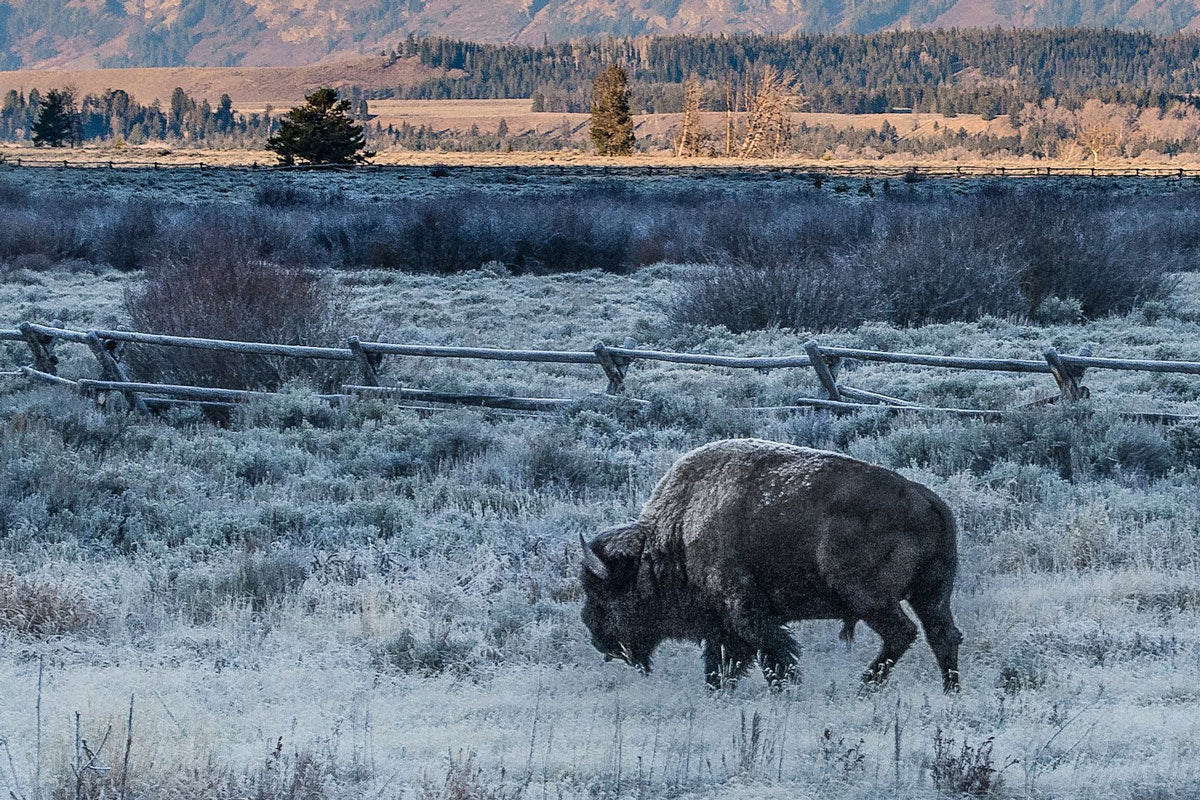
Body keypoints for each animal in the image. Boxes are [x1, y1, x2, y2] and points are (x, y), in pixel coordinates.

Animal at [580, 434, 964, 690]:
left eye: (604, 593)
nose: (596, 636)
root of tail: (927, 499)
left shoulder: (747, 613)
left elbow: (773, 654)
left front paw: (787, 690)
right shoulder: (722, 626)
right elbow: (722, 664)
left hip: (871, 599)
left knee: (903, 633)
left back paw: (865, 686)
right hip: (931, 595)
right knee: (943, 635)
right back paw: (949, 692)